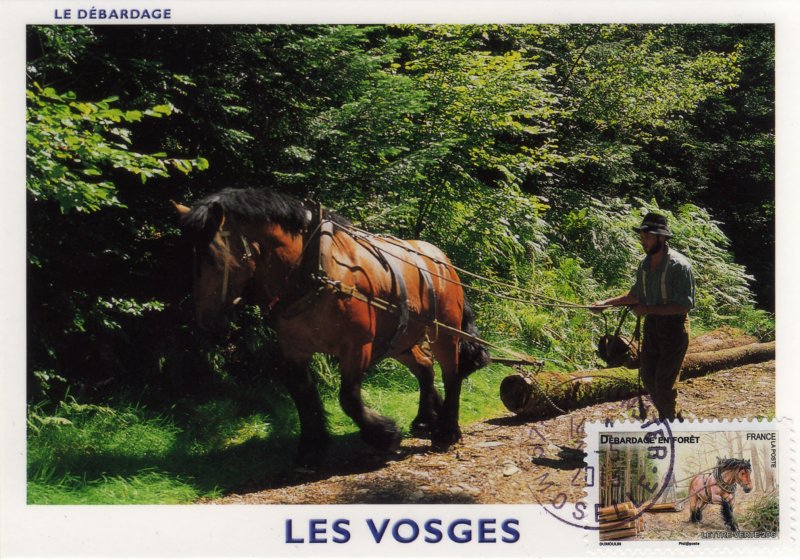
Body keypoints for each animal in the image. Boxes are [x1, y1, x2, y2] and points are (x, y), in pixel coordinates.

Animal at [173, 187, 491, 464]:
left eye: (212, 256)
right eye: (190, 255)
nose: (205, 322)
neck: (314, 269)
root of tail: (440, 258)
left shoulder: (356, 346)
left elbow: (348, 397)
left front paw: (384, 434)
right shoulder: (294, 349)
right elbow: (303, 395)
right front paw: (311, 447)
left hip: (445, 332)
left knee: (452, 373)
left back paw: (446, 430)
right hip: (401, 337)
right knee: (425, 368)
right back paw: (426, 419)